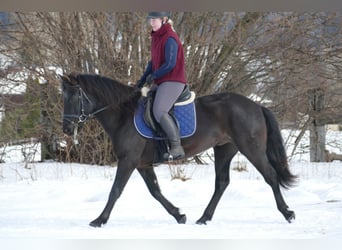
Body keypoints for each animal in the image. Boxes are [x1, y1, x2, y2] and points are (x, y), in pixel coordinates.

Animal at [60, 72, 296, 227]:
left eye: (75, 97)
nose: (67, 129)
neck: (123, 114)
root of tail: (256, 105)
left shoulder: (128, 160)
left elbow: (115, 190)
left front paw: (99, 220)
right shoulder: (143, 164)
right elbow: (155, 191)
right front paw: (178, 215)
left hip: (251, 148)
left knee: (270, 176)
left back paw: (288, 213)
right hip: (224, 149)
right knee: (221, 182)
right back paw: (204, 218)